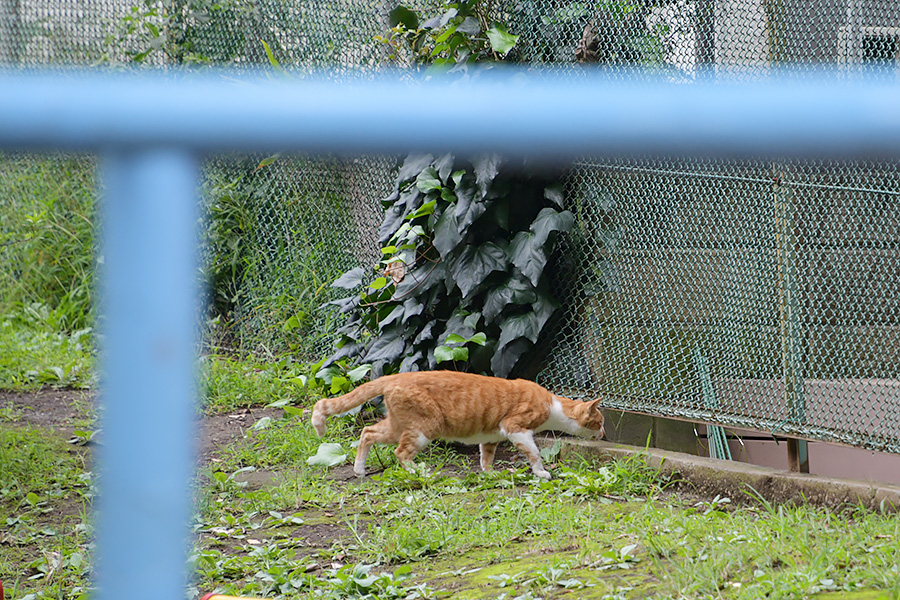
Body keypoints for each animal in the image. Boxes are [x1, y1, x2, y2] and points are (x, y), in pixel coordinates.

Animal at [312, 370, 604, 478]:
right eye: (600, 421)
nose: (603, 433)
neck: (553, 405)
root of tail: (397, 375)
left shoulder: (491, 437)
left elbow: (486, 457)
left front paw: (489, 474)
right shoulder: (515, 427)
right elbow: (534, 452)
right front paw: (541, 472)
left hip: (398, 426)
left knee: (367, 432)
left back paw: (360, 469)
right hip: (423, 428)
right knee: (400, 453)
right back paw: (420, 471)